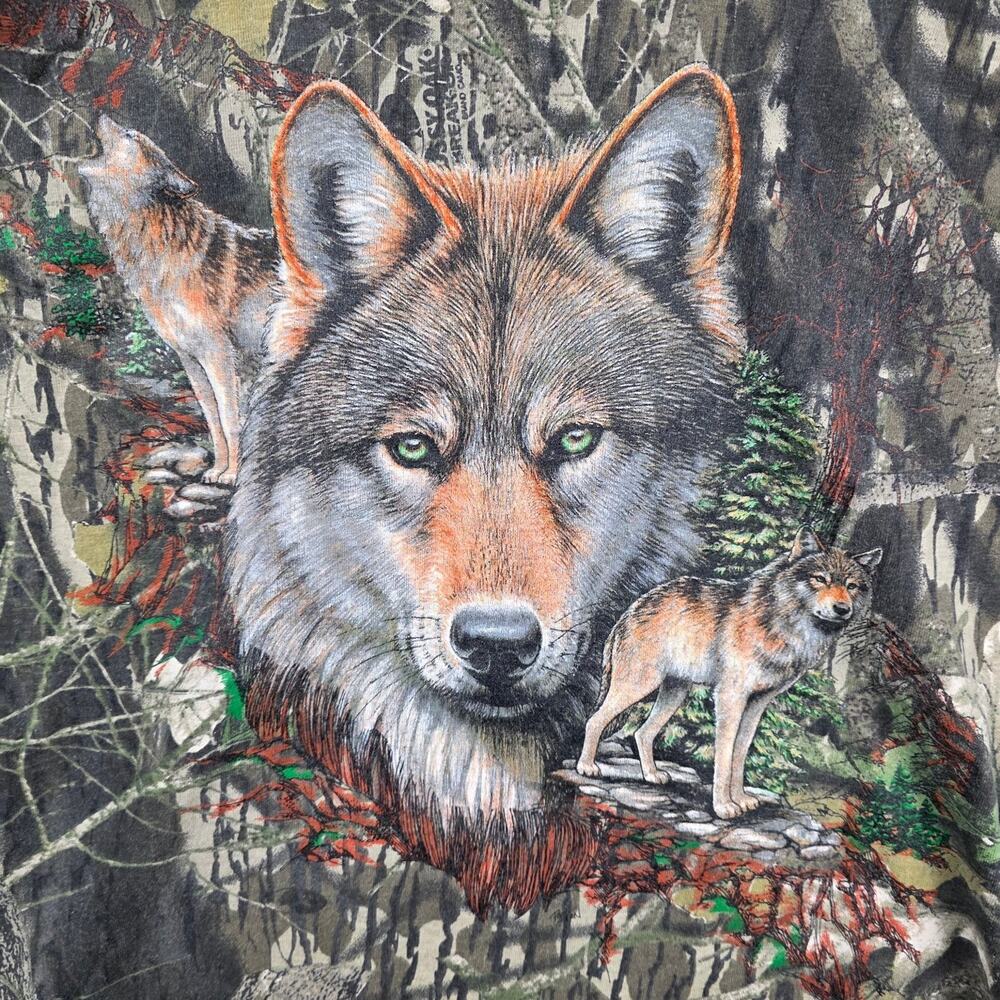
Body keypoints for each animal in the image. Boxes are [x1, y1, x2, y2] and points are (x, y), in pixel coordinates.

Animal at [80, 116, 279, 485]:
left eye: (131, 135)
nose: (99, 114)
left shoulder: (219, 354)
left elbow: (230, 418)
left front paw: (231, 475)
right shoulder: (190, 359)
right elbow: (212, 420)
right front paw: (218, 468)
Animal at [576, 527, 883, 819]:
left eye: (852, 586)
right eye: (820, 579)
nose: (842, 609)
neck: (782, 625)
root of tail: (629, 611)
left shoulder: (757, 703)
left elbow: (740, 753)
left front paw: (742, 799)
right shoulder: (730, 697)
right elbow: (723, 756)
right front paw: (724, 807)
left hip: (674, 694)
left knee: (642, 733)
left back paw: (651, 775)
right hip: (639, 686)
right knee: (594, 720)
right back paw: (587, 767)